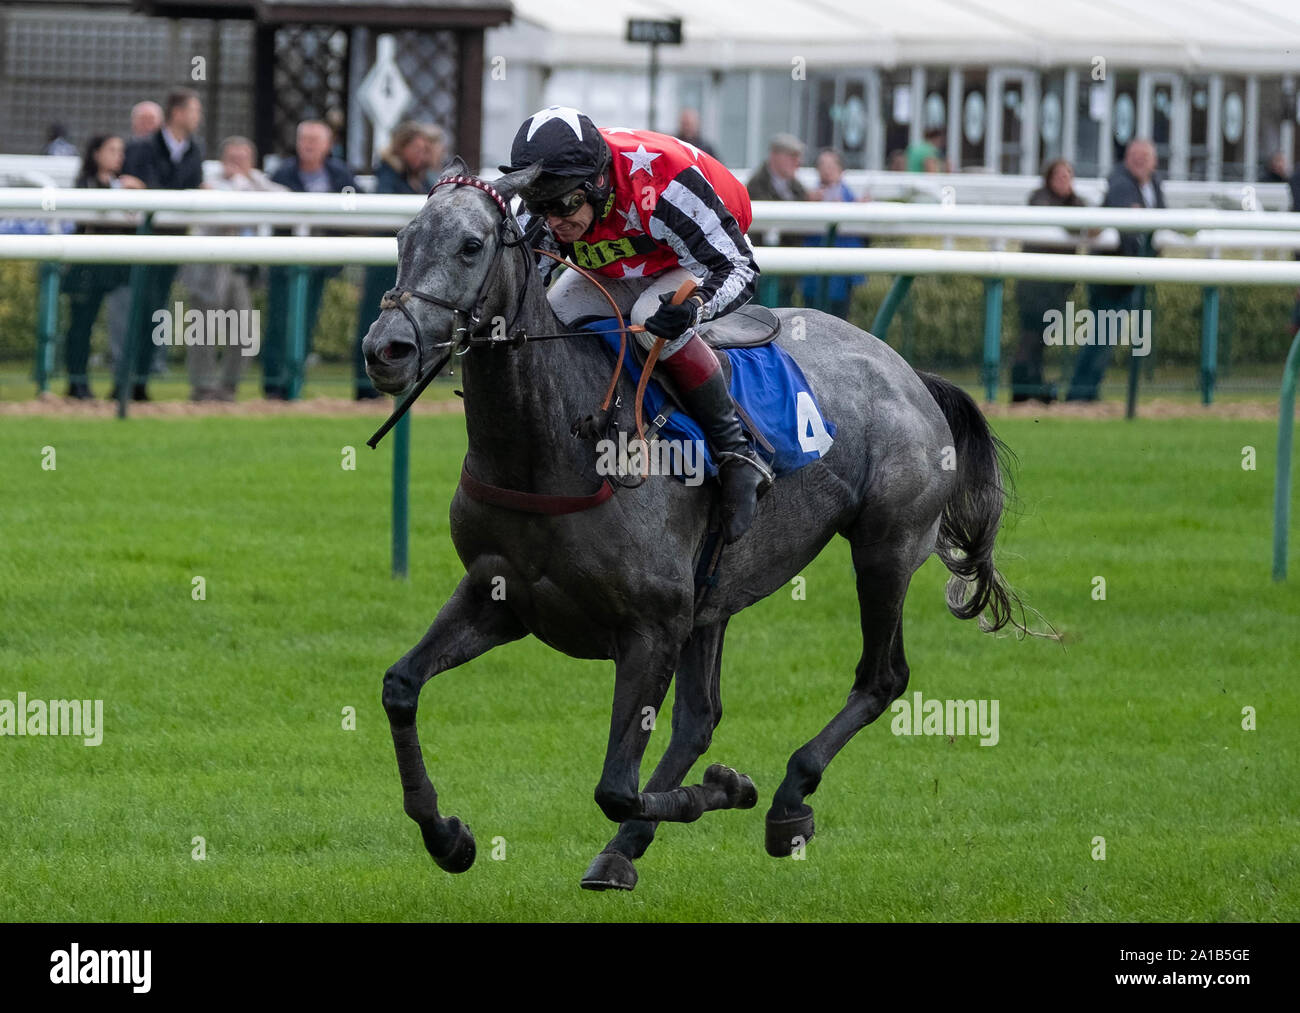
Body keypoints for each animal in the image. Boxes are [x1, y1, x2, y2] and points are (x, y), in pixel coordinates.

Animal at [361, 160, 1019, 894]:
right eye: (403, 239)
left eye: (471, 245)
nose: (386, 349)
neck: (552, 444)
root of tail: (909, 373)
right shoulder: (499, 597)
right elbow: (399, 688)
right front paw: (447, 835)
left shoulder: (651, 626)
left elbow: (616, 787)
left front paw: (732, 788)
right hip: (715, 595)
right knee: (699, 719)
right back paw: (625, 849)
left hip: (885, 547)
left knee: (882, 678)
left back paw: (788, 799)